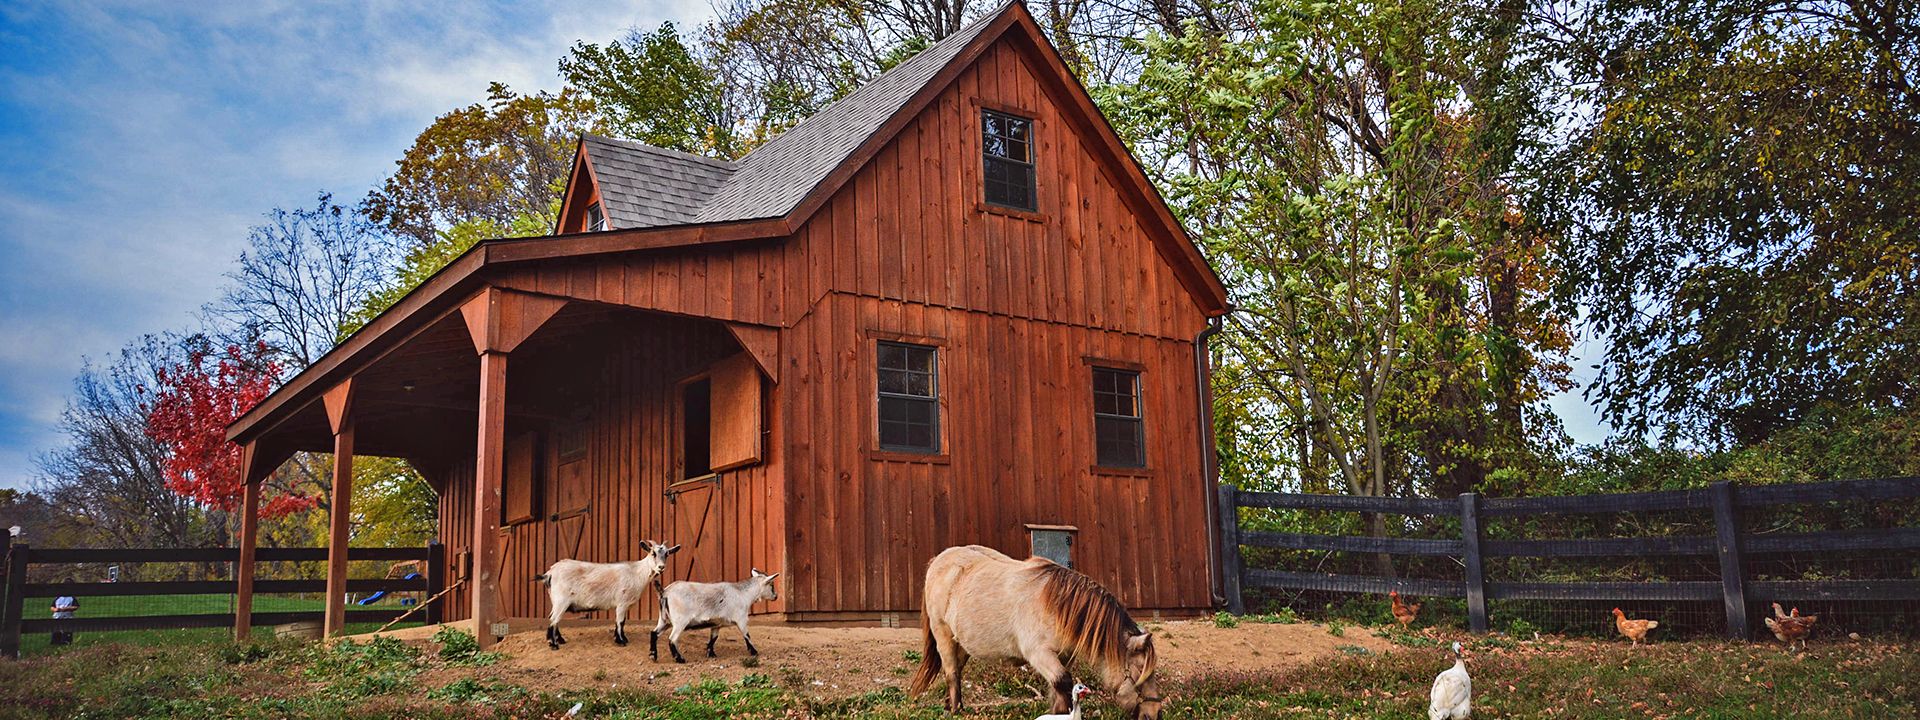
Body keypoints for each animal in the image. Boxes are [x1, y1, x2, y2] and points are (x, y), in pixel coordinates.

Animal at [533, 541, 683, 652]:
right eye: (653, 553)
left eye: (667, 554)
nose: (661, 567)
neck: (636, 572)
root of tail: (550, 573)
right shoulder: (622, 602)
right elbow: (620, 621)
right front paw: (620, 641)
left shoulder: (626, 604)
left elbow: (622, 622)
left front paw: (623, 638)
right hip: (561, 600)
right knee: (553, 619)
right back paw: (553, 644)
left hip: (556, 601)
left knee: (553, 618)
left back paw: (560, 640)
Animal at [910, 545, 1159, 720]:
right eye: (1140, 671)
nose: (1155, 714)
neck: (1057, 606)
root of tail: (937, 561)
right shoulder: (1040, 654)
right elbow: (1063, 683)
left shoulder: (1062, 657)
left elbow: (1058, 690)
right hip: (942, 634)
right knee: (951, 672)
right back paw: (955, 710)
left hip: (961, 642)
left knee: (956, 670)